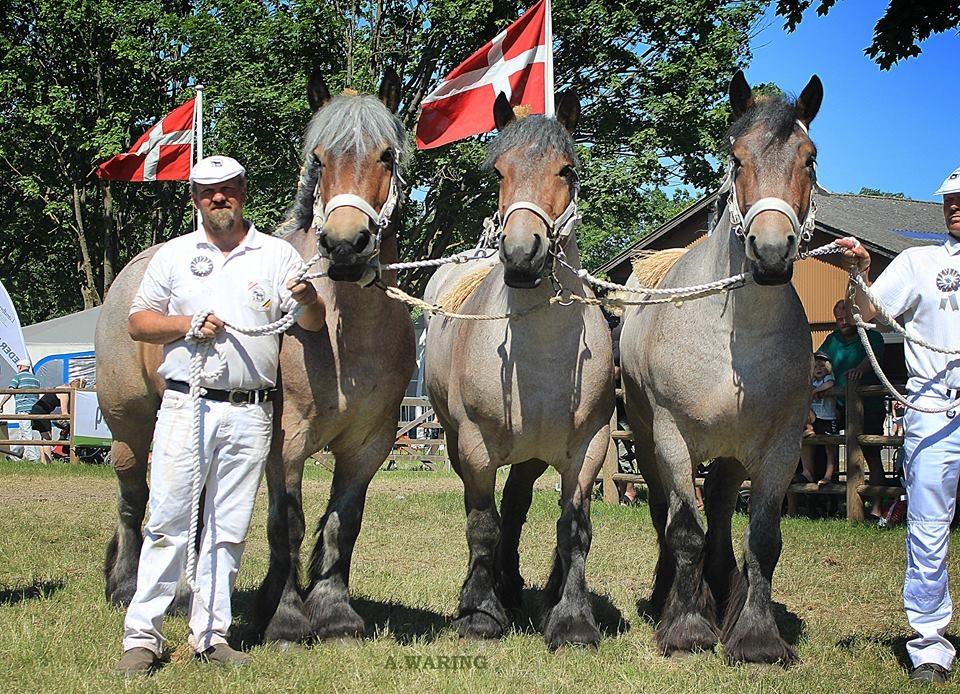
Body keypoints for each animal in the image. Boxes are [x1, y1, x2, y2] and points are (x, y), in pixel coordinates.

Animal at [422, 92, 616, 652]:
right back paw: (493, 592)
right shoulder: (474, 446)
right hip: (459, 442)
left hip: (531, 454)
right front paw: (480, 614)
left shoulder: (589, 447)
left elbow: (574, 529)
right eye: (499, 171)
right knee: (488, 511)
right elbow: (481, 525)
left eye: (567, 170)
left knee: (516, 503)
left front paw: (572, 620)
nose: (522, 253)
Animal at [620, 72, 820, 668]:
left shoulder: (781, 447)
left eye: (809, 159)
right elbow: (683, 529)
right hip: (647, 441)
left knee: (724, 512)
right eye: (736, 158)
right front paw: (686, 628)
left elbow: (763, 539)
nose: (771, 252)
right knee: (666, 513)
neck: (734, 339)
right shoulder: (672, 438)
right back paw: (668, 595)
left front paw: (756, 637)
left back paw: (722, 585)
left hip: (731, 456)